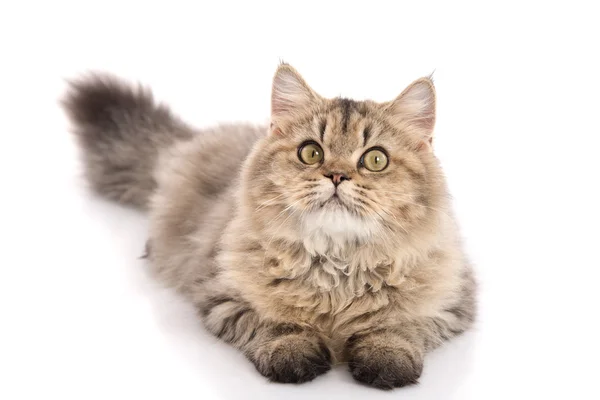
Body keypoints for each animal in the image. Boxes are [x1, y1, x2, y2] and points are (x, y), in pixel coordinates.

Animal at [64, 64, 478, 390]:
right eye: (311, 153)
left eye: (376, 160)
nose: (337, 175)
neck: (338, 266)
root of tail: (186, 142)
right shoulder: (221, 292)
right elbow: (275, 323)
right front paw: (294, 354)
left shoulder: (453, 301)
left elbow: (400, 325)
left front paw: (385, 357)